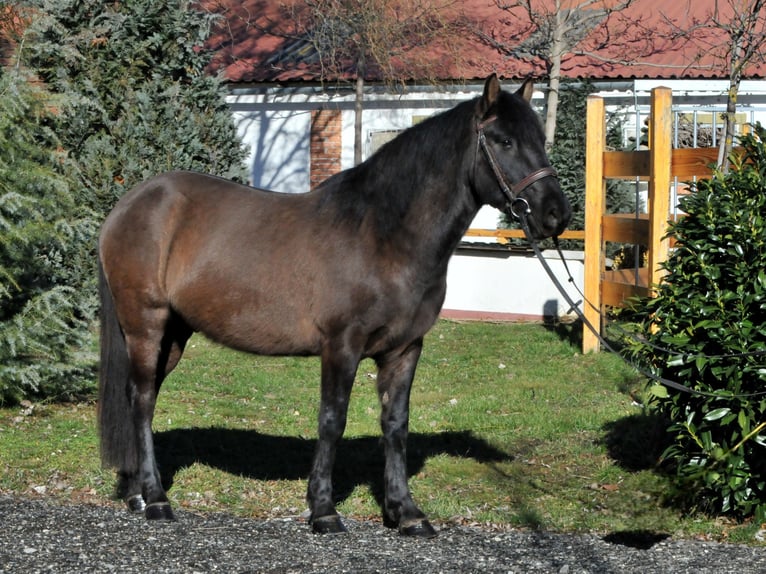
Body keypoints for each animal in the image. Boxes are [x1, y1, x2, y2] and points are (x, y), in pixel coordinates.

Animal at [97, 74, 568, 536]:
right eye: (504, 140)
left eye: (539, 140)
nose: (555, 214)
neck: (383, 234)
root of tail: (130, 204)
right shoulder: (341, 345)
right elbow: (332, 420)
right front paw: (323, 510)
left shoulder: (405, 349)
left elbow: (395, 425)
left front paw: (406, 512)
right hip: (146, 324)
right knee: (142, 399)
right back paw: (156, 499)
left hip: (175, 333)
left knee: (143, 397)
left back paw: (136, 492)